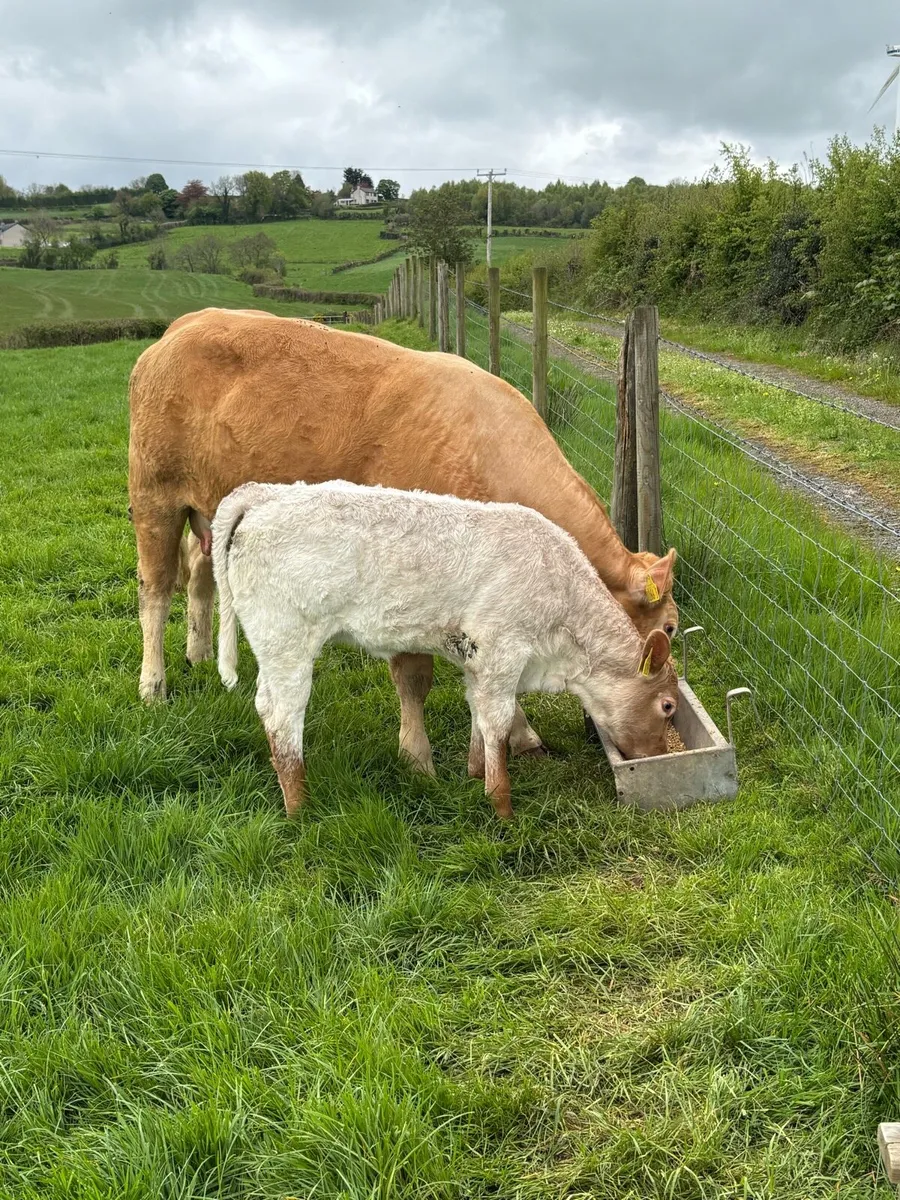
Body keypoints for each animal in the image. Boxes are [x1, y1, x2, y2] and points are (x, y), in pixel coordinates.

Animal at [128, 307, 679, 772]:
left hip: (208, 511)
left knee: (200, 576)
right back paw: (153, 684)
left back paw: (199, 653)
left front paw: (519, 736)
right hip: (154, 496)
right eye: (670, 628)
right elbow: (414, 678)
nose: (657, 749)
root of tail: (184, 325)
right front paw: (418, 757)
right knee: (154, 591)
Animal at [211, 480, 678, 819]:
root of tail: (264, 494)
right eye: (668, 705)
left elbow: (478, 714)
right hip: (286, 639)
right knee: (281, 715)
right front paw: (502, 807)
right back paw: (300, 807)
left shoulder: (477, 660)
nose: (660, 755)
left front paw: (475, 773)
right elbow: (498, 721)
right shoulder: (502, 651)